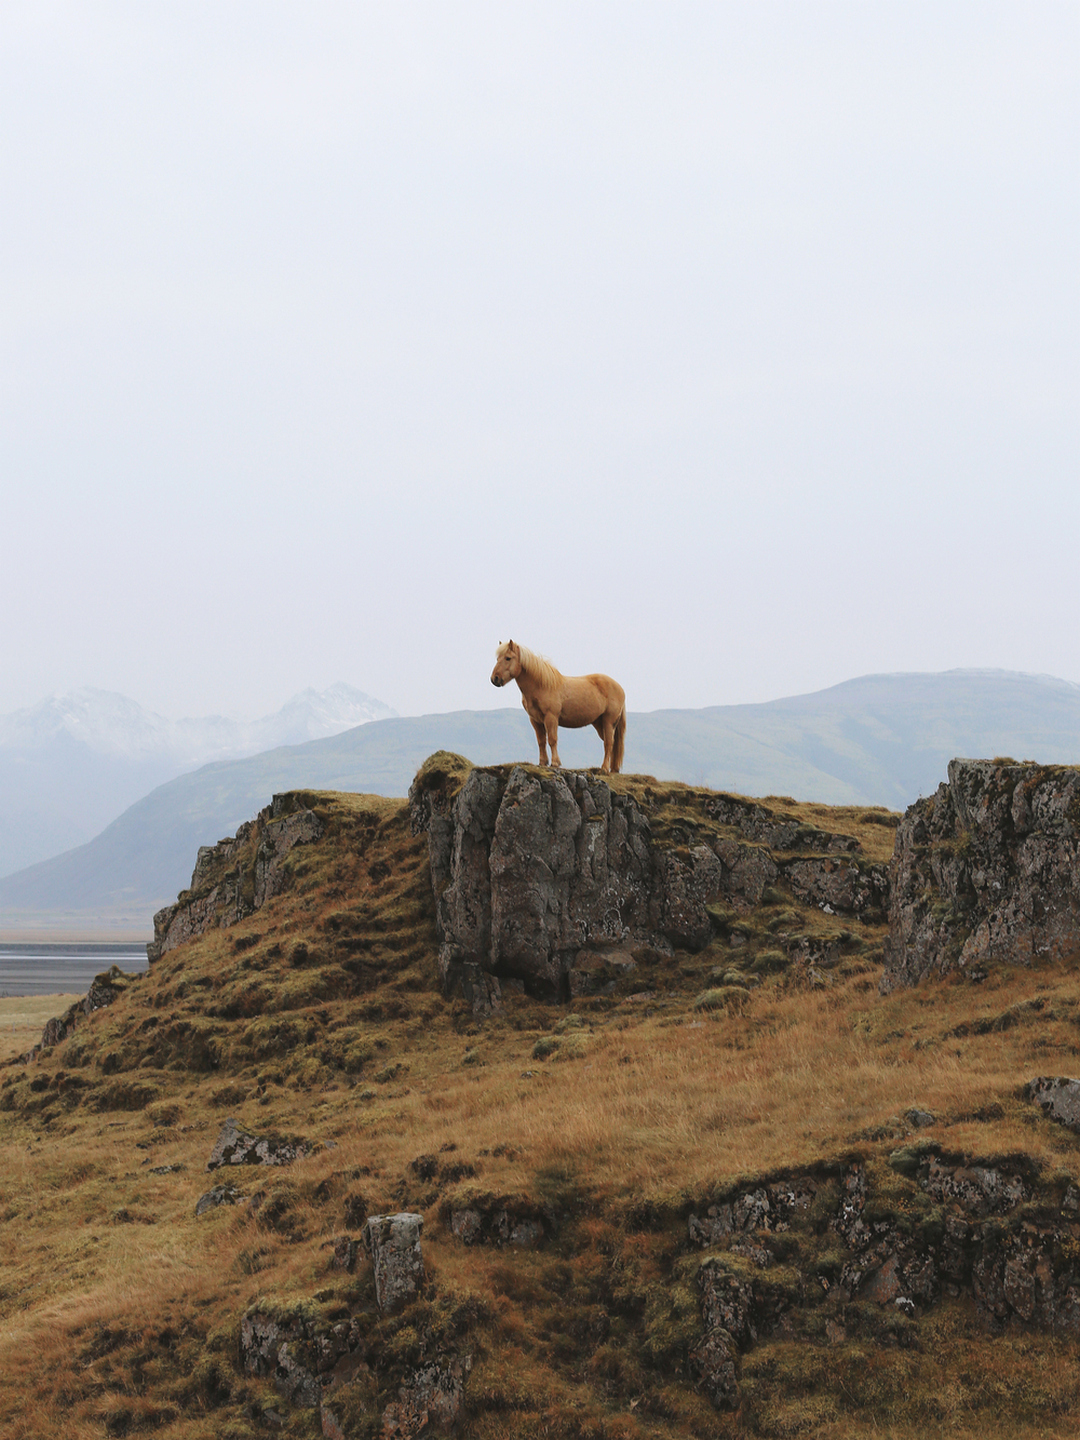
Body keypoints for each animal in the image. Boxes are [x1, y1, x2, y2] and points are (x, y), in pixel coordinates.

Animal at [489, 642, 624, 777]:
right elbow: (541, 741)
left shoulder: (551, 717)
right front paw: (543, 762)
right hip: (599, 723)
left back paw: (604, 769)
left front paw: (555, 763)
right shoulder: (535, 720)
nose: (495, 679)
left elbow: (552, 739)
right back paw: (613, 769)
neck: (541, 686)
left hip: (608, 721)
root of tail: (620, 687)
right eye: (497, 658)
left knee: (608, 743)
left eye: (508, 658)